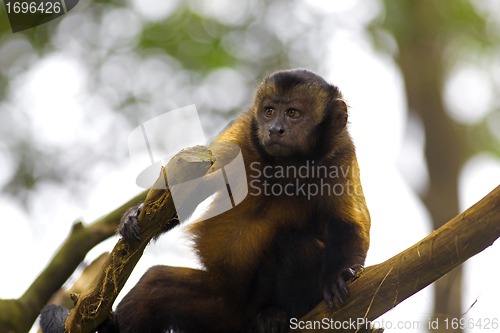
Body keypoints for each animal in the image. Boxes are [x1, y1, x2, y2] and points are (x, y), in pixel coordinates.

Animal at [40, 68, 372, 332]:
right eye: (268, 111)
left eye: (292, 113)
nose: (274, 129)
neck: (286, 165)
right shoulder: (243, 133)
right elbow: (186, 194)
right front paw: (134, 214)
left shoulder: (340, 153)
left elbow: (351, 225)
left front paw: (338, 276)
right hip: (220, 308)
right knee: (154, 284)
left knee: (295, 242)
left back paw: (279, 316)